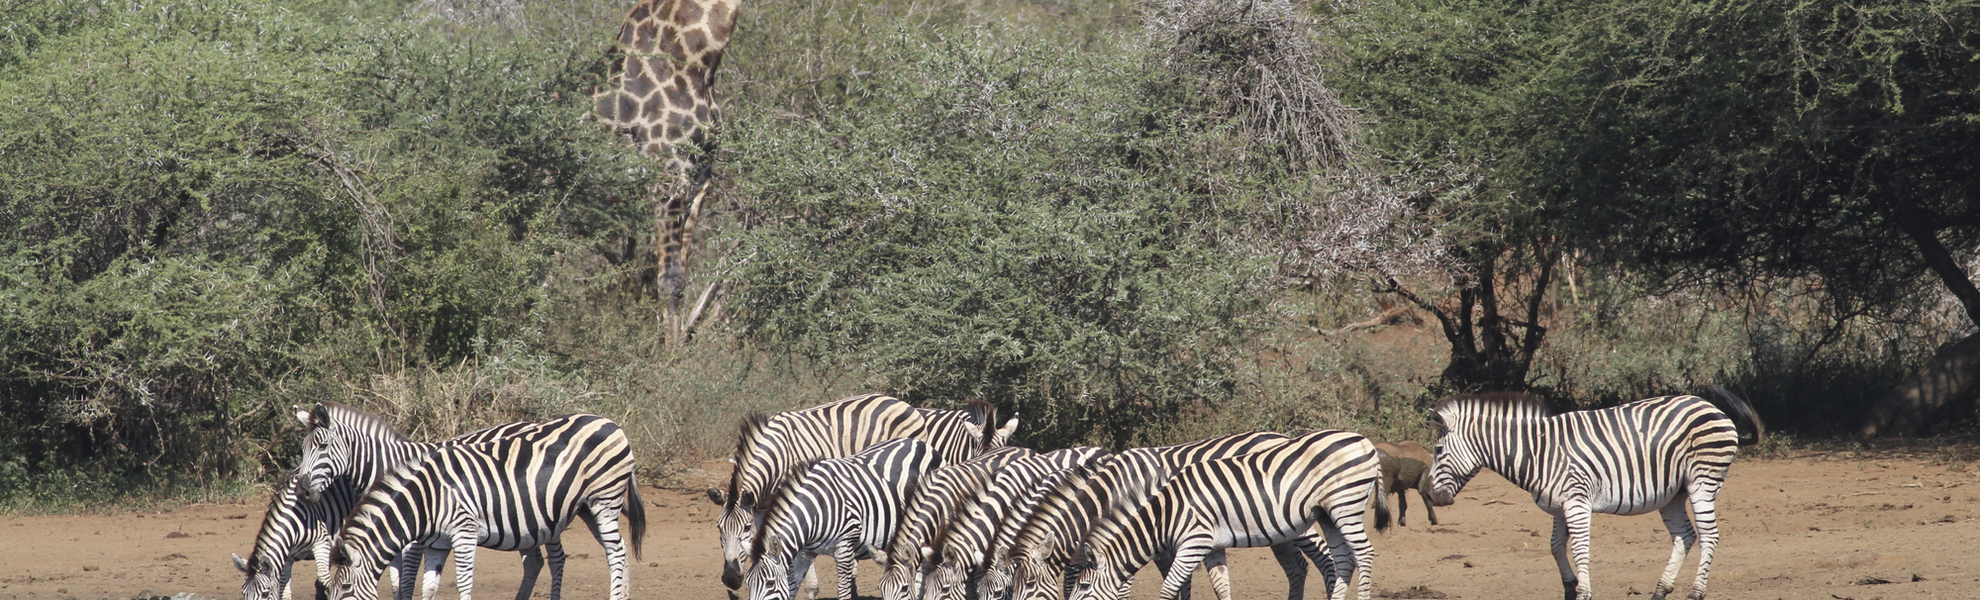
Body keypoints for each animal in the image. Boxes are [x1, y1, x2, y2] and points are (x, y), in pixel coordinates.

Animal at [328, 413, 646, 600]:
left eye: (345, 588)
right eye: (329, 589)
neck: (426, 498)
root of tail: (610, 422)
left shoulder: (464, 532)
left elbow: (462, 581)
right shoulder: (436, 544)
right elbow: (428, 585)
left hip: (604, 500)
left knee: (616, 552)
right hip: (587, 509)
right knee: (617, 550)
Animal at [745, 438, 945, 600]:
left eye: (769, 583)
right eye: (747, 582)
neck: (816, 508)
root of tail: (922, 444)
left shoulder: (845, 547)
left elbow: (843, 592)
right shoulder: (804, 553)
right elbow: (791, 588)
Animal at [1068, 429, 1389, 600]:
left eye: (1083, 586)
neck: (1165, 513)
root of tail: (1365, 442)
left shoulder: (1193, 543)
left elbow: (1169, 587)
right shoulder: (1212, 547)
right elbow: (1220, 586)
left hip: (1344, 505)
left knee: (1362, 553)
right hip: (1325, 514)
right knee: (1341, 558)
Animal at [1423, 388, 1764, 600]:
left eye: (1438, 451)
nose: (1433, 497)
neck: (1538, 452)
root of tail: (1712, 407)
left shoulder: (1576, 503)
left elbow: (1579, 550)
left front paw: (1584, 592)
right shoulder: (1559, 506)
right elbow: (1555, 547)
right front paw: (1569, 587)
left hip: (1702, 480)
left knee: (1709, 535)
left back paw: (1695, 592)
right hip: (1673, 494)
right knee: (1685, 536)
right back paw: (1660, 591)